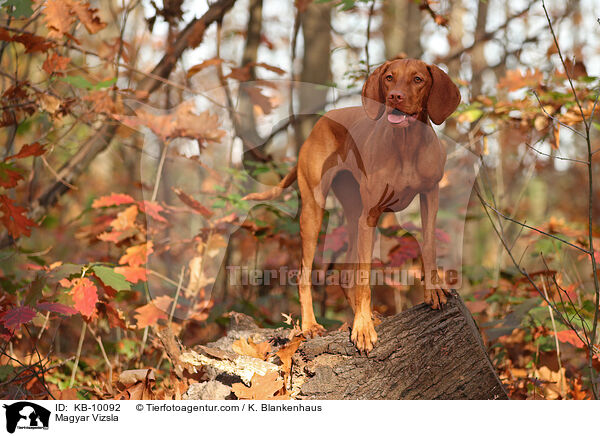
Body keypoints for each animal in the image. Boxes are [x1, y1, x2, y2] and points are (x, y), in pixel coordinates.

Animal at [244, 58, 460, 352]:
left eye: (418, 79)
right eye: (389, 77)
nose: (395, 97)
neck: (406, 145)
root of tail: (321, 121)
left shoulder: (430, 195)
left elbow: (428, 245)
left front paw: (434, 290)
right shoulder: (370, 215)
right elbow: (365, 281)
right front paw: (363, 329)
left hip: (354, 214)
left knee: (345, 274)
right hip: (315, 211)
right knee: (305, 274)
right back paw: (311, 325)